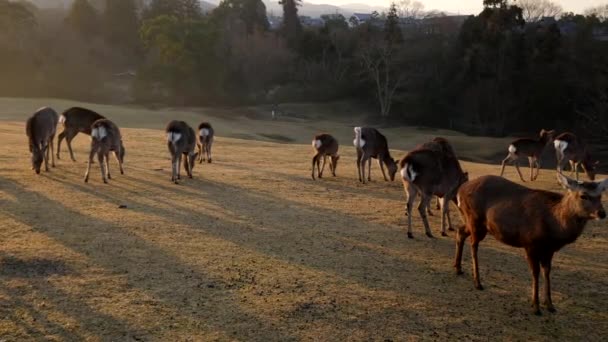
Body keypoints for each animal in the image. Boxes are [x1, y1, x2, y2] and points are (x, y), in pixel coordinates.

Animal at [454, 174, 604, 316]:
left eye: (601, 195)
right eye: (584, 195)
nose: (602, 213)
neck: (555, 227)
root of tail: (460, 191)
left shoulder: (549, 250)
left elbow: (547, 271)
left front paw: (550, 305)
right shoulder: (530, 243)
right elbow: (535, 272)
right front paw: (536, 307)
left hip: (473, 223)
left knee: (460, 231)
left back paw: (458, 269)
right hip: (475, 220)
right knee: (474, 245)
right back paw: (477, 282)